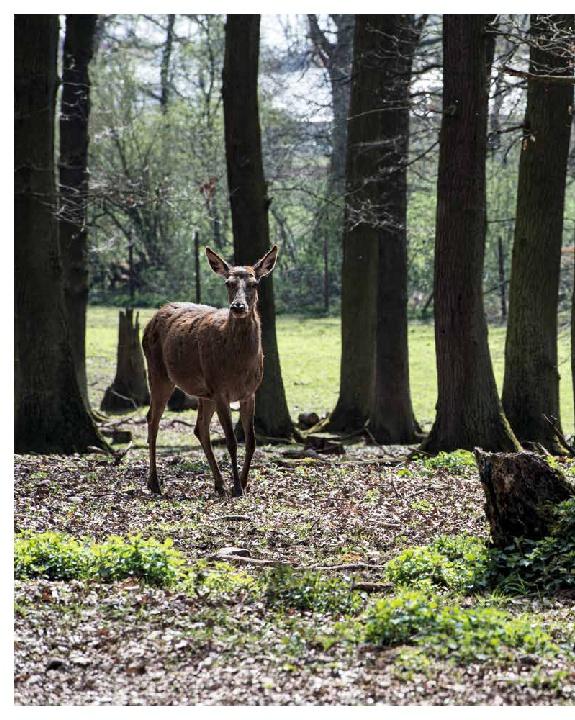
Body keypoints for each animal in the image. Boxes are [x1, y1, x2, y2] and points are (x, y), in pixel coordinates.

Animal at [143, 245, 280, 498]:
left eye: (254, 283)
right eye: (228, 283)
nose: (238, 307)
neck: (239, 367)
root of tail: (153, 317)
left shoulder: (249, 392)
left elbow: (251, 440)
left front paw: (244, 482)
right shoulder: (220, 390)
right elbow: (231, 441)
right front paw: (237, 487)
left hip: (203, 392)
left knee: (199, 428)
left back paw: (218, 484)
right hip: (159, 372)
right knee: (152, 419)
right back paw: (154, 483)